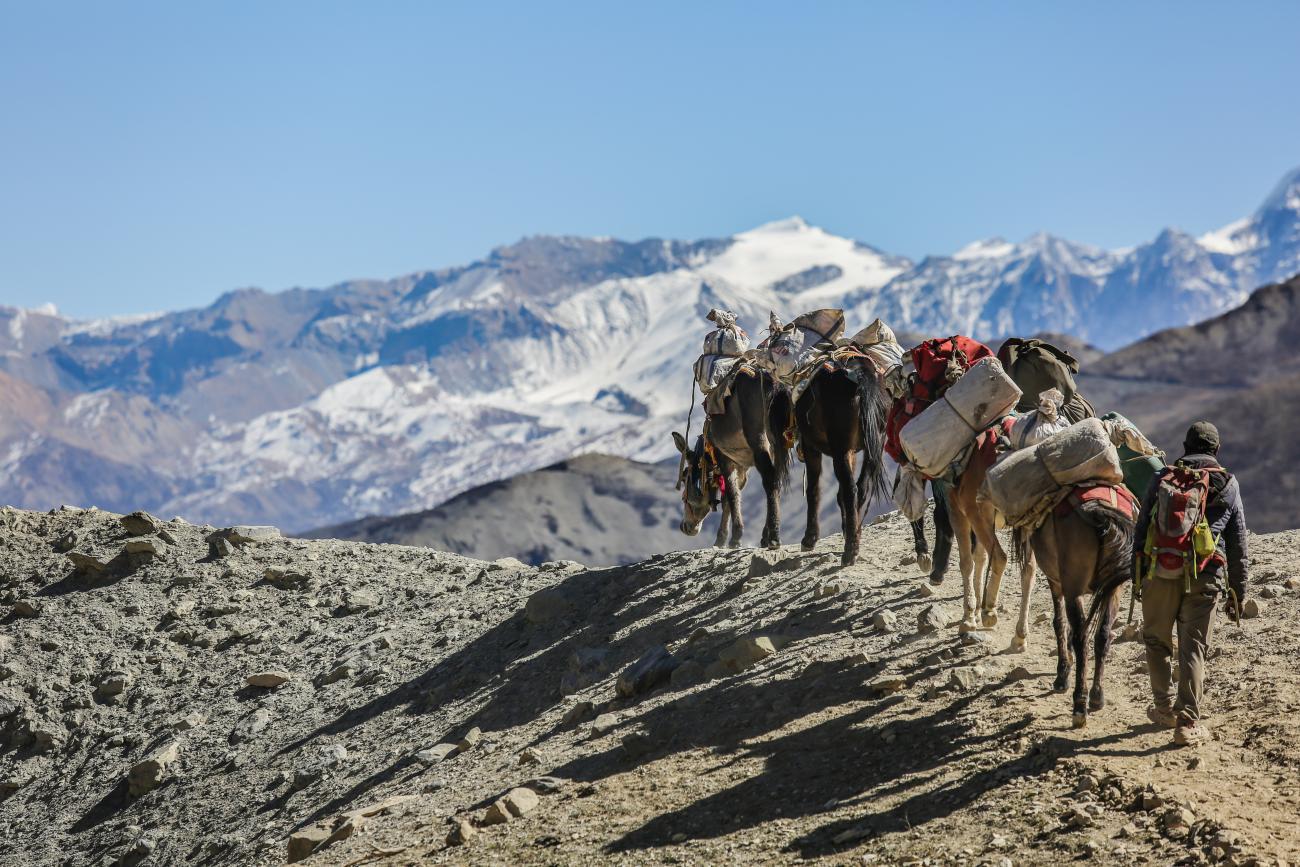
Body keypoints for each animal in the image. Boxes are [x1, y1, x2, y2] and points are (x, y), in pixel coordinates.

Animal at [670, 366, 790, 548]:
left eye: (685, 478)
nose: (685, 527)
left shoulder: (726, 460)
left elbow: (731, 496)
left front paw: (730, 538)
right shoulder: (742, 467)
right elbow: (733, 495)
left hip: (760, 441)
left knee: (770, 480)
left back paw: (774, 536)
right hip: (780, 444)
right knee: (778, 480)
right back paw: (767, 535)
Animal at [795, 361, 889, 569]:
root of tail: (861, 376)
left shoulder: (810, 446)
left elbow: (813, 490)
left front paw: (809, 539)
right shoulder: (852, 452)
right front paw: (846, 529)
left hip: (840, 448)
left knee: (850, 490)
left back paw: (849, 552)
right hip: (875, 444)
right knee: (860, 489)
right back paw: (854, 539)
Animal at [1029, 493, 1133, 727]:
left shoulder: (1056, 582)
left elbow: (1059, 623)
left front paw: (1062, 674)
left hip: (1073, 587)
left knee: (1081, 638)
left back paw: (1079, 703)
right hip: (1114, 588)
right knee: (1103, 634)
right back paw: (1096, 695)